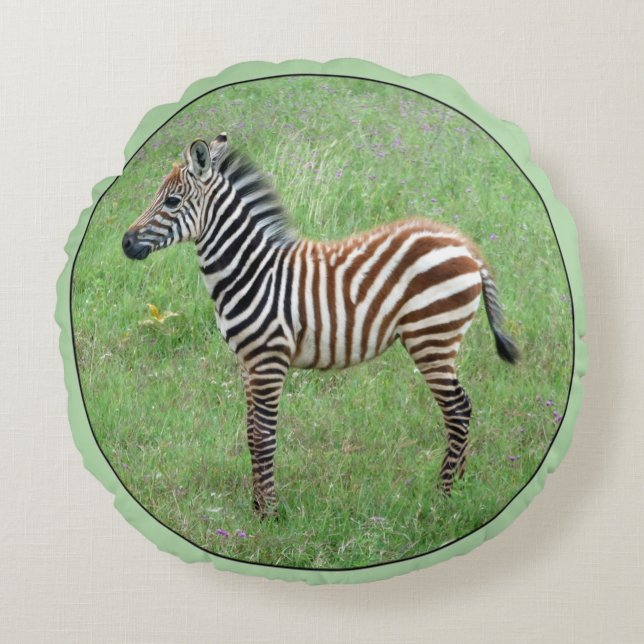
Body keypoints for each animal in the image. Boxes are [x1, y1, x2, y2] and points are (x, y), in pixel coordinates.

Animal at [122, 134, 518, 517]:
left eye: (172, 201)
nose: (125, 243)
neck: (251, 271)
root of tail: (465, 245)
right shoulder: (247, 362)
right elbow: (250, 433)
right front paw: (256, 507)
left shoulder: (268, 360)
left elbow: (264, 435)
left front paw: (269, 514)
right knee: (462, 407)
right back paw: (460, 487)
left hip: (432, 336)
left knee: (458, 410)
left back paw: (444, 496)